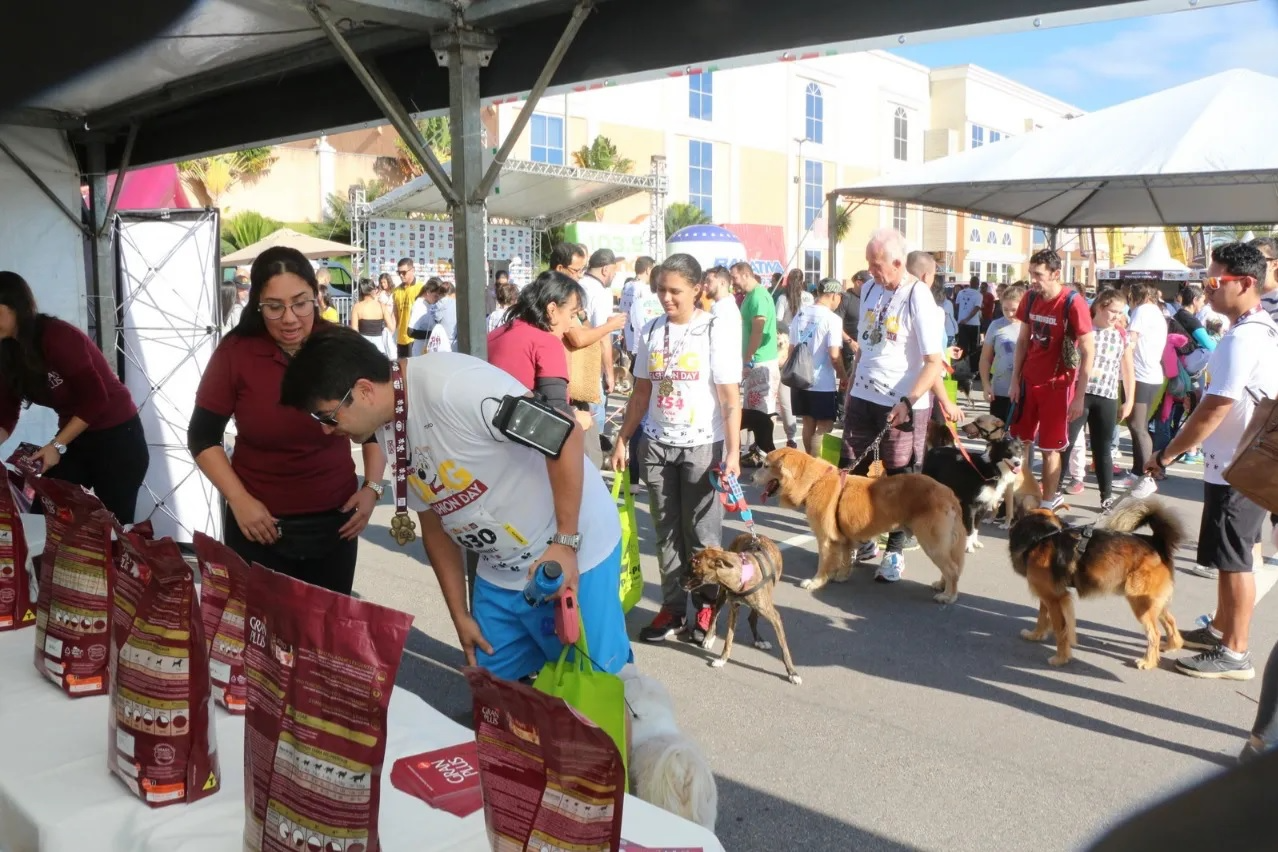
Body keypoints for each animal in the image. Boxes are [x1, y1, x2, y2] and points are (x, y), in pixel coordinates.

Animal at [690, 533, 797, 684]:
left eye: (693, 570)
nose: (678, 580)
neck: (741, 576)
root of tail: (750, 534)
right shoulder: (734, 610)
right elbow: (728, 640)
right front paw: (722, 660)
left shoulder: (774, 616)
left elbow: (784, 648)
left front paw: (792, 672)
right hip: (722, 596)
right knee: (715, 613)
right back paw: (709, 638)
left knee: (752, 618)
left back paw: (759, 640)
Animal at [751, 449, 961, 602]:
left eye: (765, 465)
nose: (751, 478)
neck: (814, 482)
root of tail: (948, 492)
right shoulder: (844, 538)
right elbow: (845, 559)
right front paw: (842, 576)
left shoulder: (825, 540)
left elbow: (823, 563)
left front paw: (816, 582)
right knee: (950, 567)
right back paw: (941, 585)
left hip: (932, 542)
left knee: (952, 569)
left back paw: (948, 595)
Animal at [1007, 500, 1185, 674]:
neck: (1042, 536)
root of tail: (1156, 542)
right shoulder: (1048, 596)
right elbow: (1042, 618)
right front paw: (1035, 635)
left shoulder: (1055, 599)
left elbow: (1061, 629)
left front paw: (1061, 658)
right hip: (1151, 602)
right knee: (1170, 621)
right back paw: (1172, 645)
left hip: (1140, 602)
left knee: (1155, 633)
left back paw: (1148, 662)